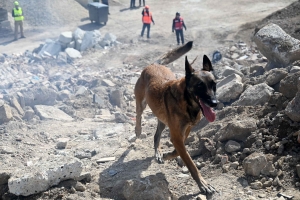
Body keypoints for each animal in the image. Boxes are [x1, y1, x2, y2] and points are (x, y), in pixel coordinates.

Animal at [135, 41, 217, 195]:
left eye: (214, 84)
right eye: (199, 86)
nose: (215, 103)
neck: (187, 102)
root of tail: (153, 64)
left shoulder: (185, 131)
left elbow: (179, 149)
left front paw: (168, 155)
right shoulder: (176, 136)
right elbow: (191, 164)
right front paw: (203, 184)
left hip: (162, 119)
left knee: (156, 135)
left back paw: (159, 152)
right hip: (141, 103)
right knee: (138, 114)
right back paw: (138, 130)